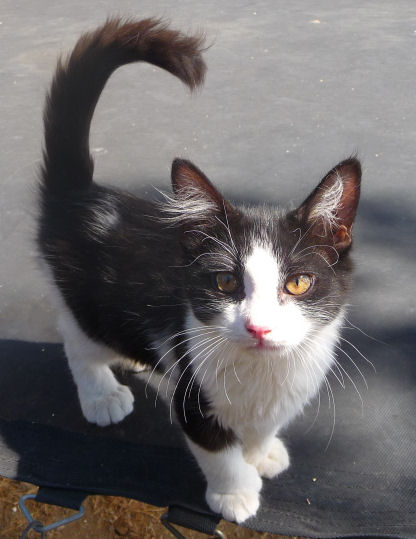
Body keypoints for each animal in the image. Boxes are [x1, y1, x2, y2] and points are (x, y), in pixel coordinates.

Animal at [37, 17, 360, 524]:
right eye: (226, 282)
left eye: (298, 282)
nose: (259, 328)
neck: (263, 372)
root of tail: (82, 196)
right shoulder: (190, 383)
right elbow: (215, 447)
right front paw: (236, 492)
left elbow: (263, 426)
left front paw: (262, 452)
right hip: (82, 299)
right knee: (79, 342)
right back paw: (101, 394)